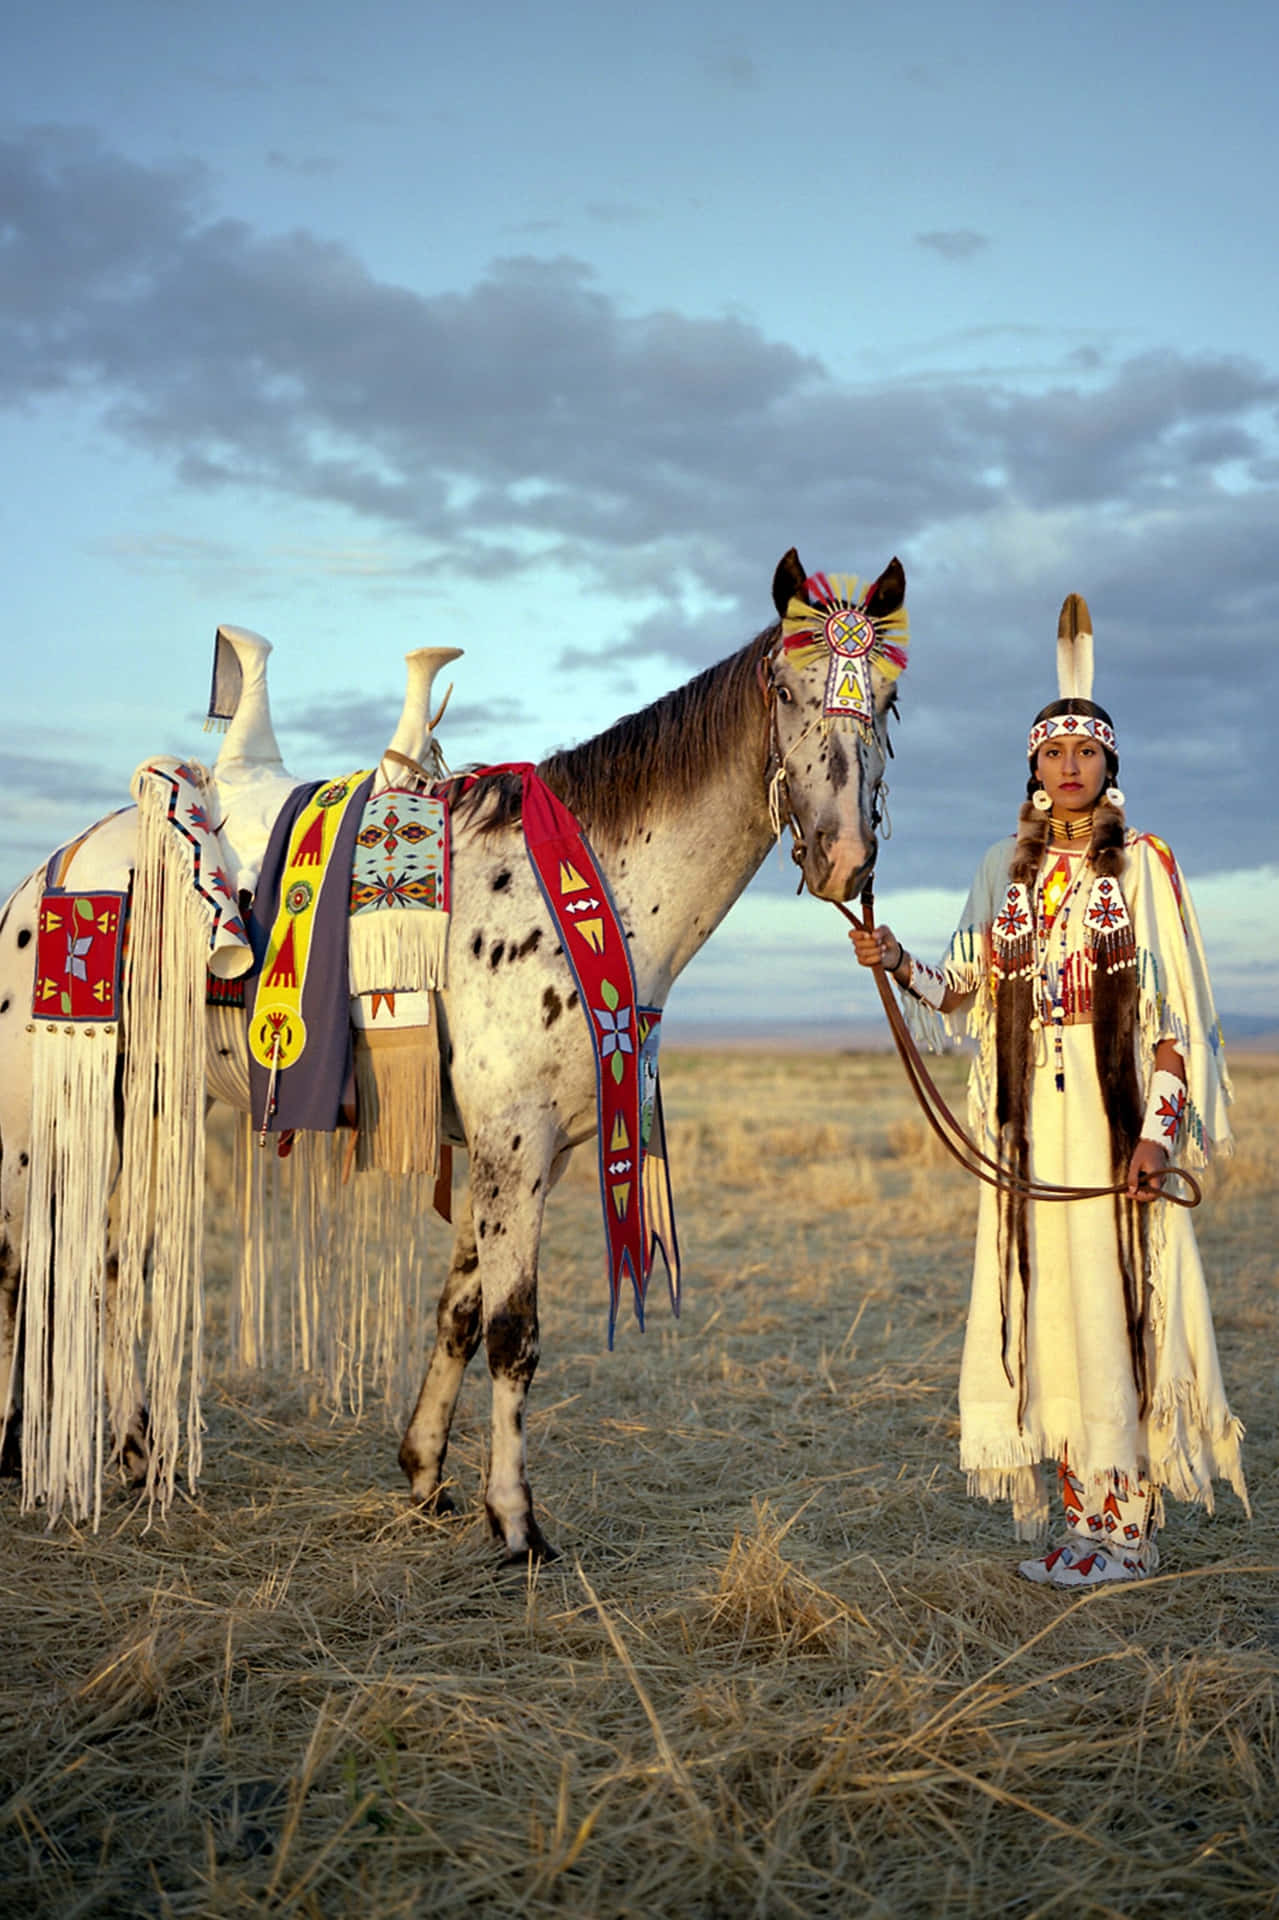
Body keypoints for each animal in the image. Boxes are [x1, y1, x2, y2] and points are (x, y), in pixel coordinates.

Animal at [0, 548, 907, 1560]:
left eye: (888, 701)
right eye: (786, 690)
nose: (844, 860)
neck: (581, 883)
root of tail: (51, 871)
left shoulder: (530, 1152)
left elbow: (461, 1312)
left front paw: (425, 1473)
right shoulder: (514, 1141)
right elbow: (515, 1331)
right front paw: (515, 1522)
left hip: (156, 1104)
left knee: (122, 1261)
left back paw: (133, 1452)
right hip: (45, 1110)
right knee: (23, 1261)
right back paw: (24, 1451)